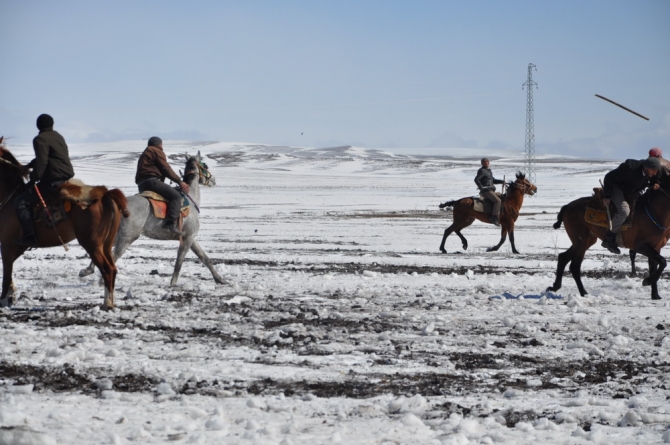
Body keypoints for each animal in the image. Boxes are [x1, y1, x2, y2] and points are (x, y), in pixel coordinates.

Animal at [0, 138, 130, 308]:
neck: (8, 198)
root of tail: (105, 195)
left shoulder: (7, 244)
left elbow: (6, 271)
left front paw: (4, 298)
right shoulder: (17, 247)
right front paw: (11, 294)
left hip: (92, 244)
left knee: (107, 269)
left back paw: (107, 304)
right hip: (106, 244)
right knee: (113, 269)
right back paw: (110, 302)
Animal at [79, 152, 227, 284]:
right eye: (205, 165)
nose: (213, 180)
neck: (191, 200)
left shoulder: (190, 238)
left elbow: (205, 258)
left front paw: (219, 279)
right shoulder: (187, 238)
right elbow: (179, 262)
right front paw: (173, 283)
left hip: (116, 235)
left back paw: (87, 271)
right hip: (127, 238)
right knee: (113, 256)